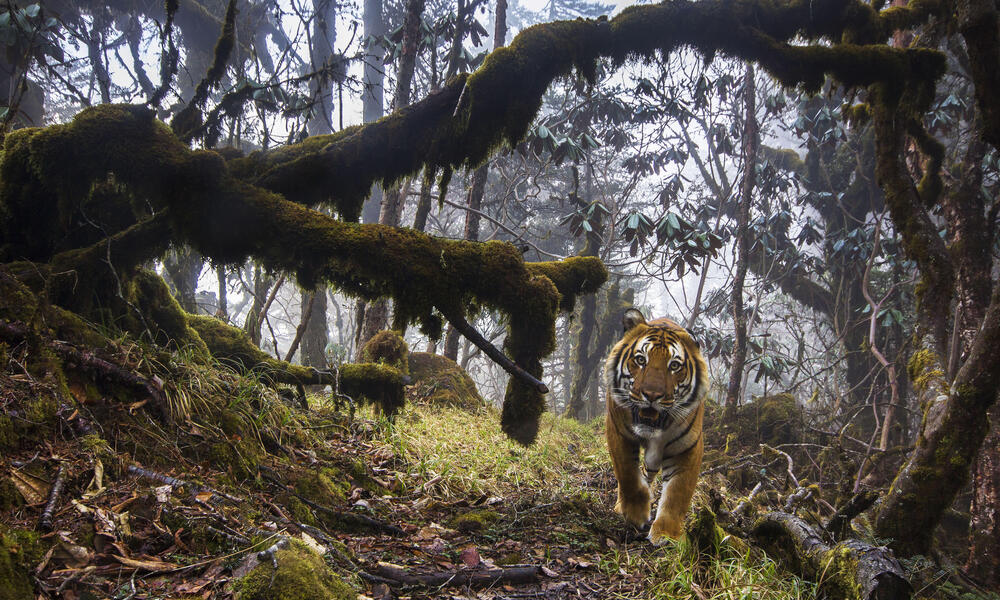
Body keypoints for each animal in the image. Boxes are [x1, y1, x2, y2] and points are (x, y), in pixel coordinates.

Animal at [604, 310, 708, 544]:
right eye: (641, 360)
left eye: (674, 366)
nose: (652, 395)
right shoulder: (618, 432)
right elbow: (628, 476)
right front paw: (635, 514)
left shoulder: (688, 447)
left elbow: (678, 492)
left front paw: (667, 534)